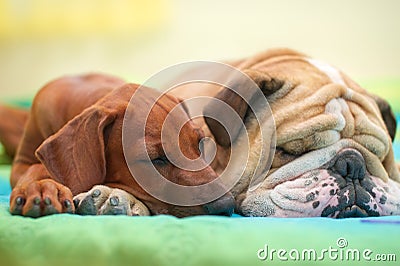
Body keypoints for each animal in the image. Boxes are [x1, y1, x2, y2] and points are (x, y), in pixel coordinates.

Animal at [1, 74, 234, 217]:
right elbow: (34, 167)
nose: (227, 206)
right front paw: (40, 187)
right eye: (156, 159)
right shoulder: (23, 160)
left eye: (200, 146)